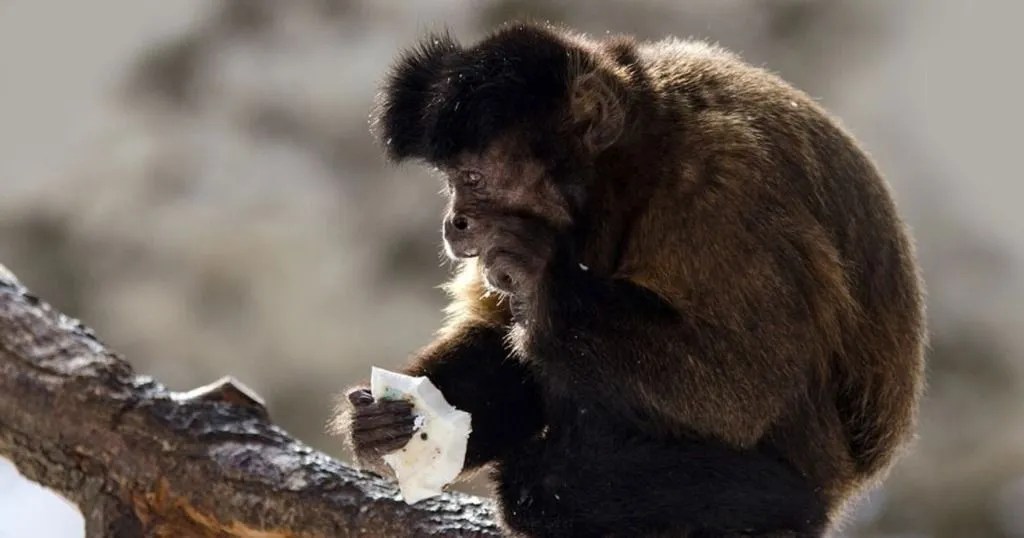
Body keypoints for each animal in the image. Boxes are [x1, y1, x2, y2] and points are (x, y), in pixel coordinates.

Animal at [330, 21, 926, 538]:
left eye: (473, 179)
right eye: (452, 182)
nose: (453, 221)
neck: (638, 160)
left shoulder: (723, 186)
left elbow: (745, 390)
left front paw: (541, 276)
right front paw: (386, 427)